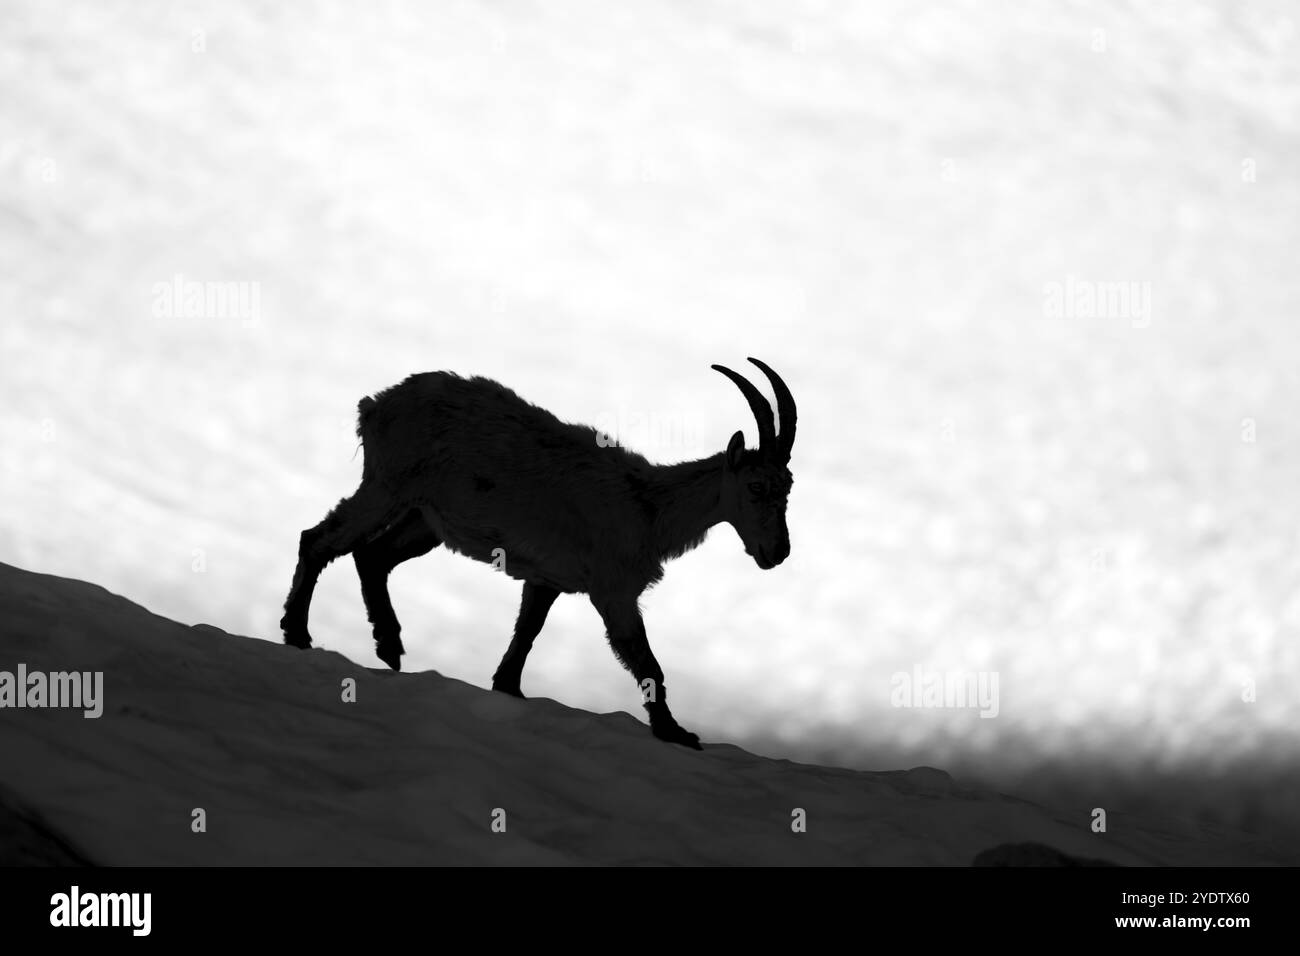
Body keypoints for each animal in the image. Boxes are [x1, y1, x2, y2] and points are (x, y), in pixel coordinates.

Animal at [280, 359, 797, 749]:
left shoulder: (547, 578)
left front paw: (508, 687)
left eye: (788, 486)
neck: (648, 508)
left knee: (372, 556)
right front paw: (675, 733)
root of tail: (376, 404)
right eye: (755, 486)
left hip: (424, 518)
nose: (778, 552)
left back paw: (388, 645)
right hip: (388, 487)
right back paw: (298, 633)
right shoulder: (613, 590)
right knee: (319, 539)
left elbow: (527, 633)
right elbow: (648, 663)